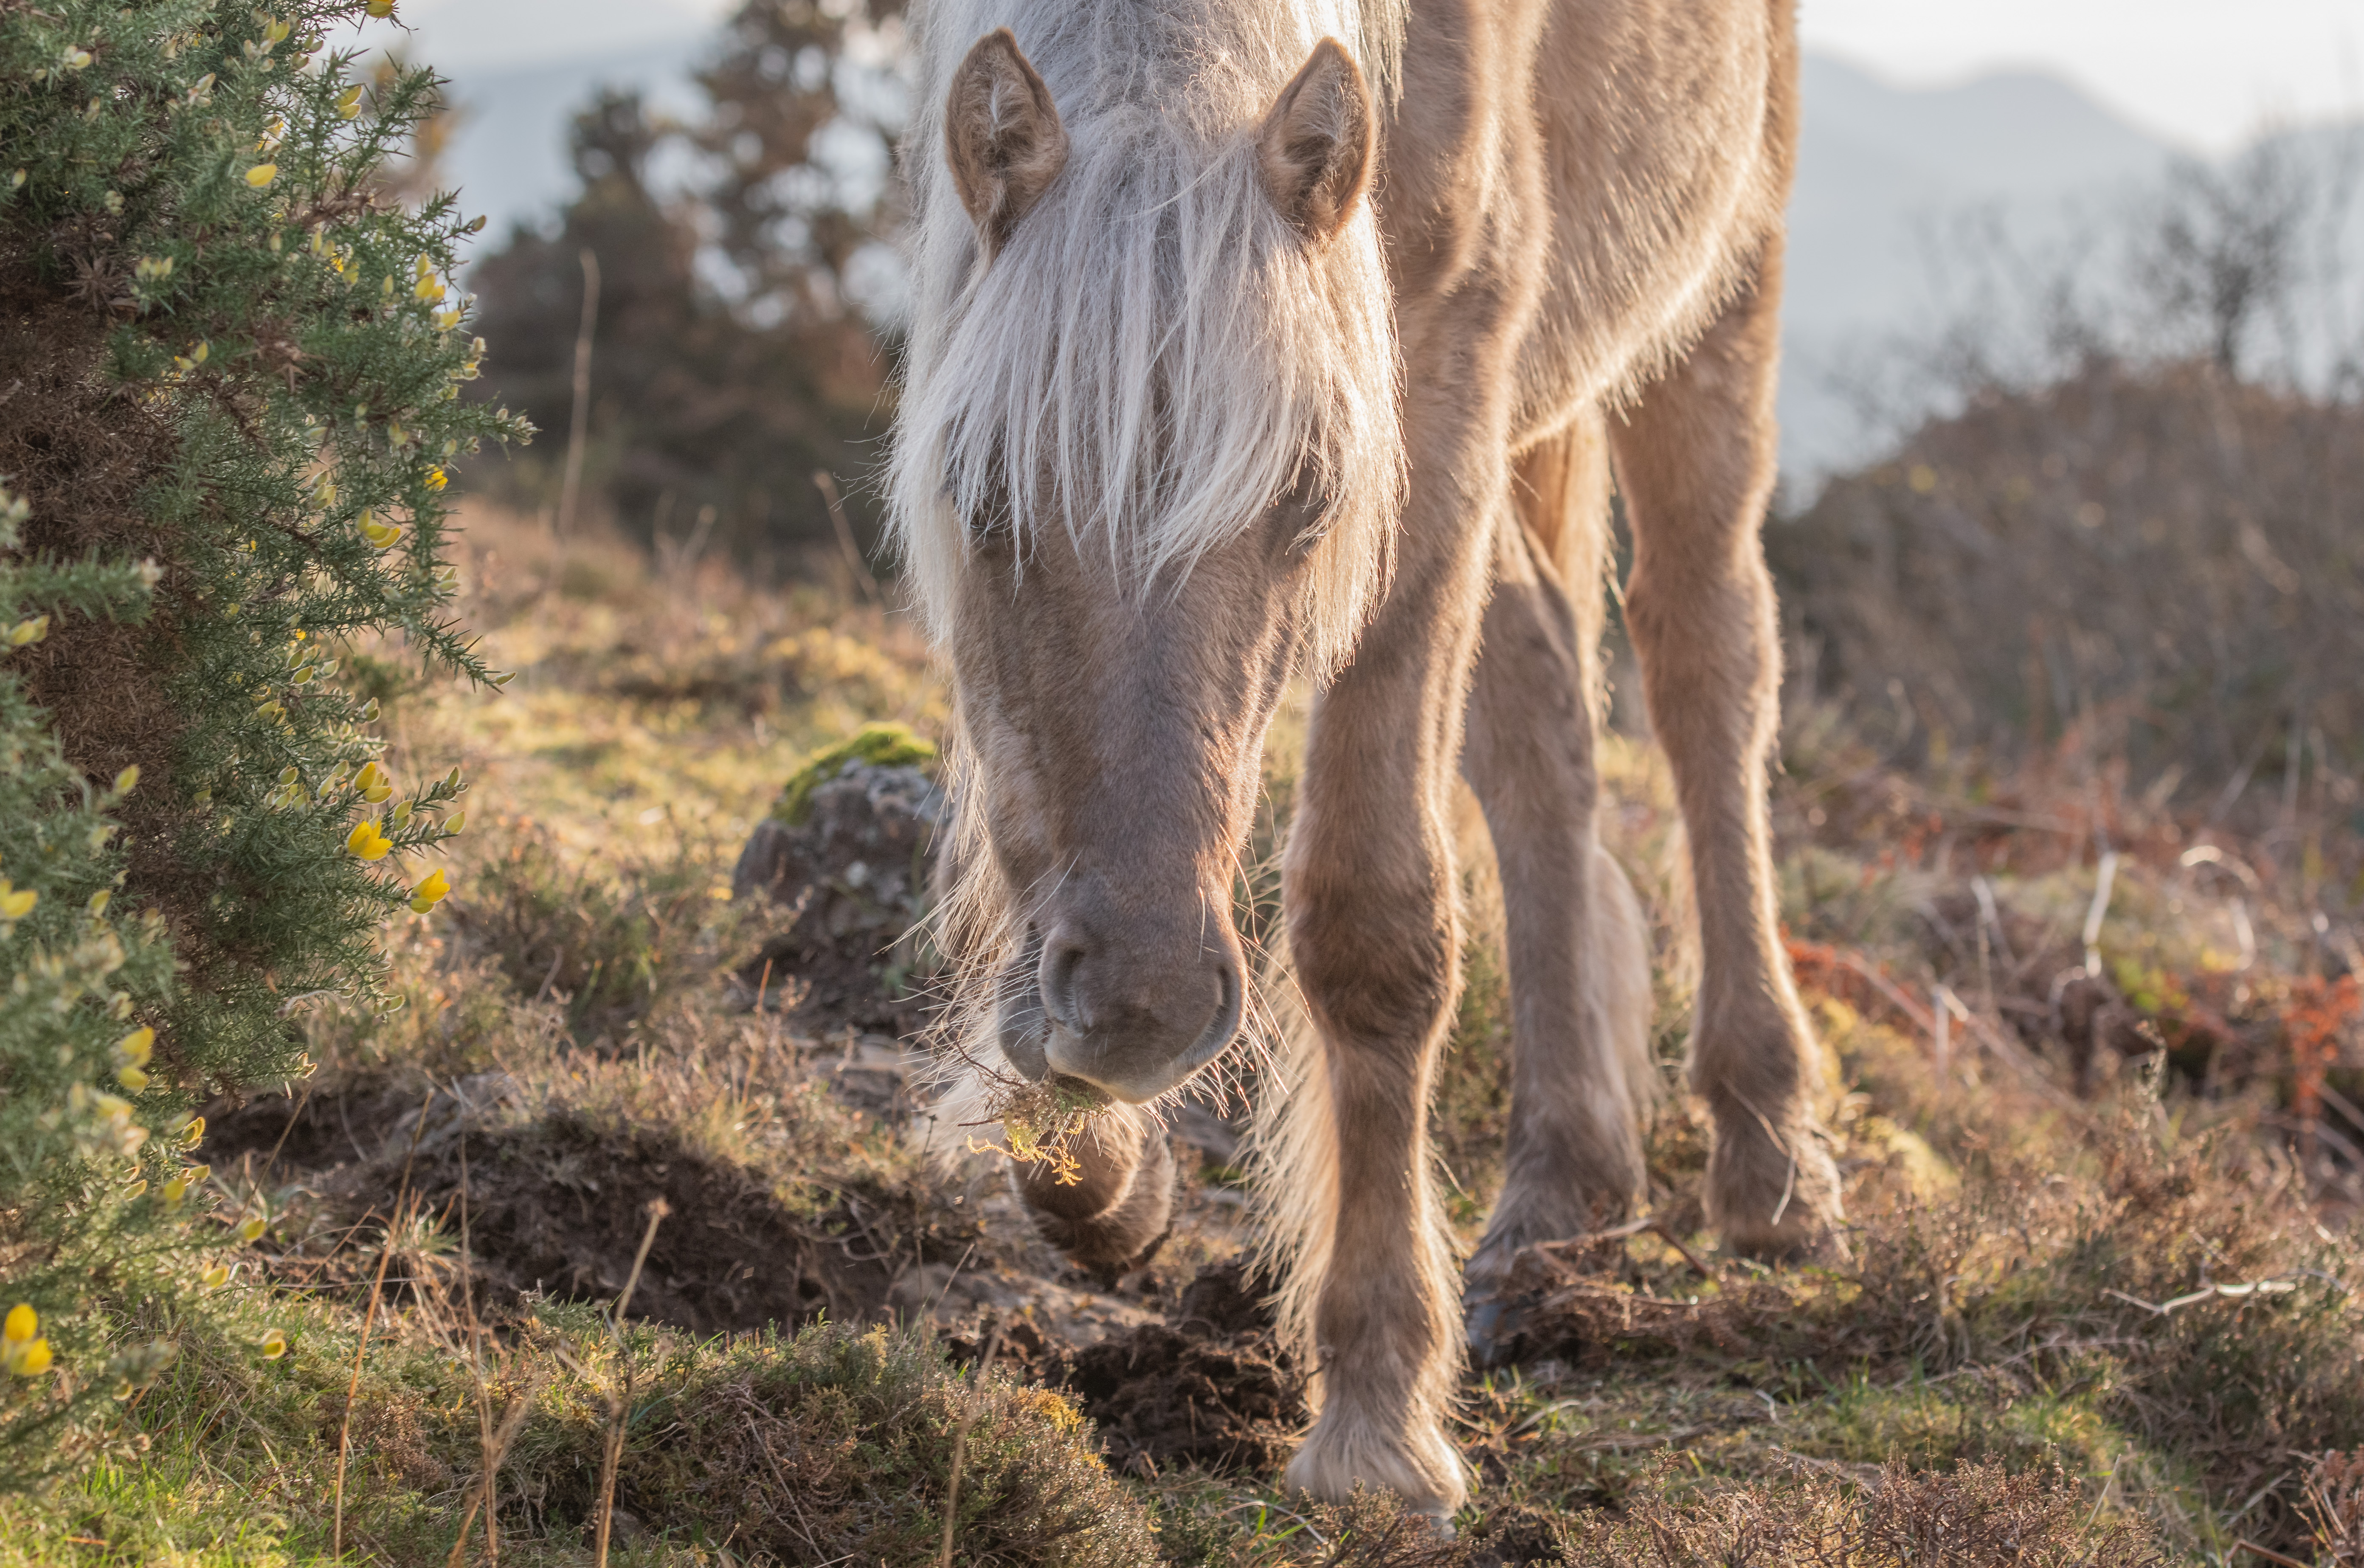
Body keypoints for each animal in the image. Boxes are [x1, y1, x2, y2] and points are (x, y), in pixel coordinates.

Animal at [888, 0, 1839, 1521]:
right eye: (980, 496)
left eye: (1308, 499)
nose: (1145, 1007)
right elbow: (1014, 835)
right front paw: (1092, 1166)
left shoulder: (1436, 385)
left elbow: (1374, 916)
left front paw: (1380, 1420)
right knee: (1540, 718)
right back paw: (1559, 1195)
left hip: (1718, 302)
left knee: (1707, 663)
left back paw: (1767, 1153)